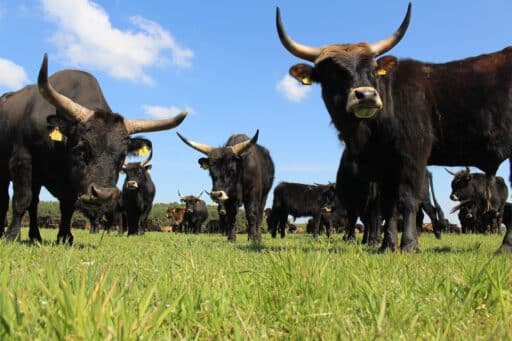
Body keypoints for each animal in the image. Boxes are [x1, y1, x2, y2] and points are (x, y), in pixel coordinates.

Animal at [0, 53, 187, 244]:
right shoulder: (22, 162)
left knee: (34, 204)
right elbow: (22, 199)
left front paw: (65, 237)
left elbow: (67, 205)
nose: (103, 194)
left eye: (122, 155)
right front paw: (11, 236)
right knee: (10, 200)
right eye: (81, 148)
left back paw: (35, 236)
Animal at [276, 3, 512, 251]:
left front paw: (408, 244)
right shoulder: (384, 166)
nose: (367, 95)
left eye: (372, 69)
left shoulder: (412, 157)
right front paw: (387, 245)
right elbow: (387, 205)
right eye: (331, 72)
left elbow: (406, 199)